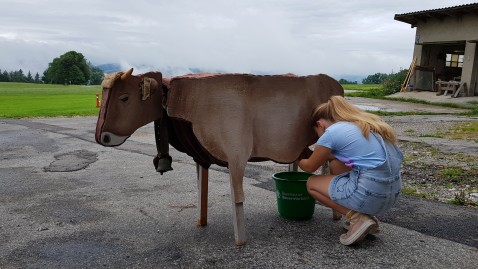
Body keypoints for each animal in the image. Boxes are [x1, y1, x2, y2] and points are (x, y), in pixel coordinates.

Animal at [95, 68, 342, 244]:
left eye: (124, 97)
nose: (103, 137)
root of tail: (336, 85)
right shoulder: (201, 157)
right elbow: (201, 190)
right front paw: (201, 221)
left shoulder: (237, 153)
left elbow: (237, 197)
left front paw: (240, 241)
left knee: (329, 169)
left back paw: (337, 217)